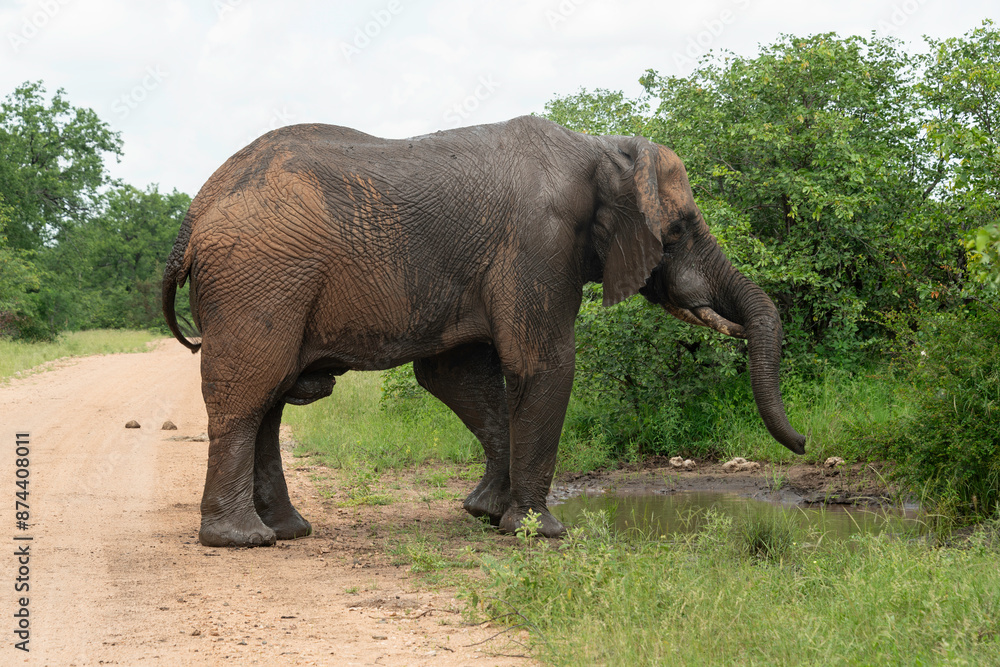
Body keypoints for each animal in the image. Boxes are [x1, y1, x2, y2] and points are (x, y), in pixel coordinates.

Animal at [162, 115, 806, 548]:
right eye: (678, 229)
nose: (803, 444)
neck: (600, 148)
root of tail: (194, 213)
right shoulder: (539, 241)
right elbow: (542, 363)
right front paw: (541, 533)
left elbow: (457, 375)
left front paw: (486, 514)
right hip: (260, 276)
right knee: (251, 393)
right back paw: (242, 540)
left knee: (269, 398)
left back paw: (288, 531)